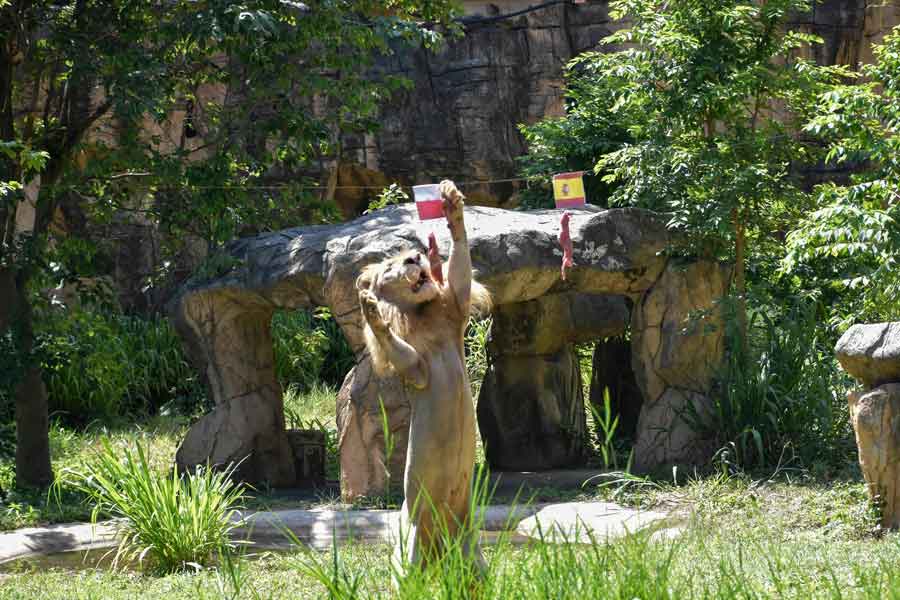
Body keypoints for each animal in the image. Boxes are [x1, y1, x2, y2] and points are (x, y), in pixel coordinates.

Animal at [356, 180, 488, 584]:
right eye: (391, 266)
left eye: (408, 256)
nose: (415, 258)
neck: (421, 313)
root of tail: (438, 552)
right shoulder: (416, 369)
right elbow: (392, 343)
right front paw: (371, 310)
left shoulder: (457, 306)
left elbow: (459, 268)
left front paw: (451, 205)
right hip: (410, 539)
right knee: (408, 574)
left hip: (471, 543)